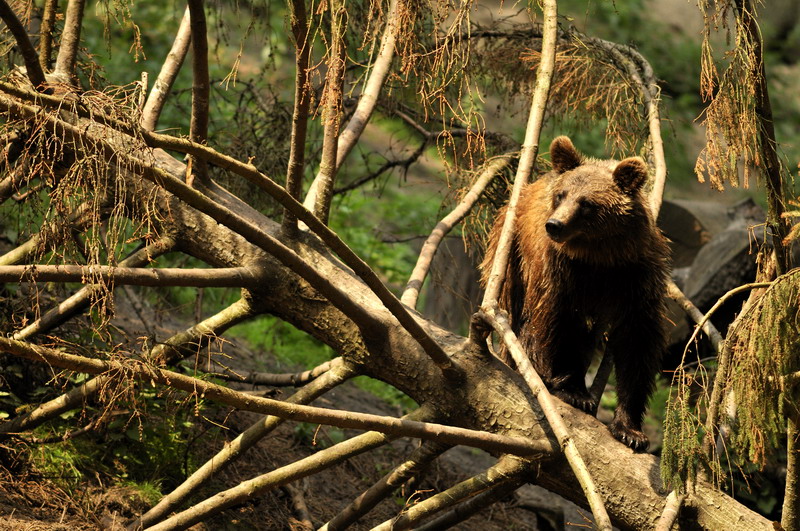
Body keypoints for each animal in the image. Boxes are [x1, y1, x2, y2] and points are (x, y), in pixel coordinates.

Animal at [480, 136, 670, 451]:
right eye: (561, 195)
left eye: (587, 203)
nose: (554, 224)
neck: (598, 257)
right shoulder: (561, 272)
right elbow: (560, 322)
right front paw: (574, 391)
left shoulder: (635, 276)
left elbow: (637, 340)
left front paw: (630, 429)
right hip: (513, 257)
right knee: (524, 317)